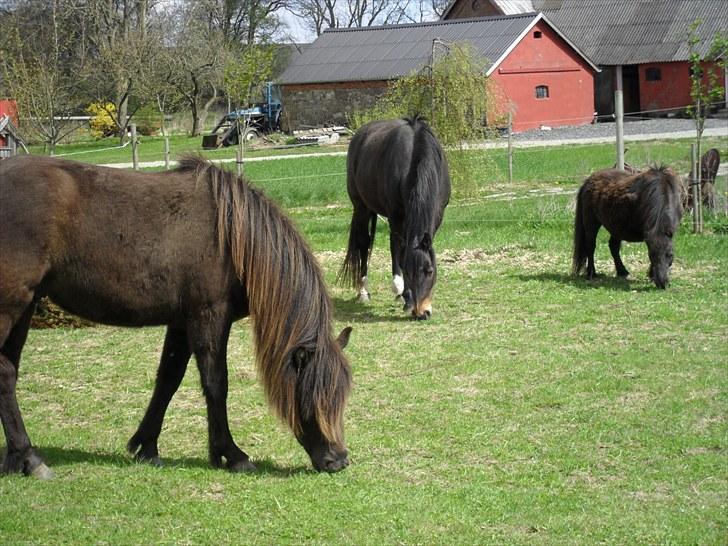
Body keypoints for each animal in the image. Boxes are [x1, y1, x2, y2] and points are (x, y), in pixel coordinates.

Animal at [0, 153, 352, 476]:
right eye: (315, 394)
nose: (338, 460)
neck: (232, 236)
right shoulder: (208, 316)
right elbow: (216, 383)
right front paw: (232, 454)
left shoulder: (182, 322)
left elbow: (168, 380)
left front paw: (147, 447)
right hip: (11, 305)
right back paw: (29, 458)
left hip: (25, 307)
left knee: (8, 371)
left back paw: (20, 459)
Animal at [340, 116, 450, 318]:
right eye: (408, 271)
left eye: (429, 271)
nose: (421, 313)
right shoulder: (396, 215)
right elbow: (399, 249)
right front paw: (405, 295)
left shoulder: (438, 214)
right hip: (361, 207)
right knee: (364, 243)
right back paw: (363, 291)